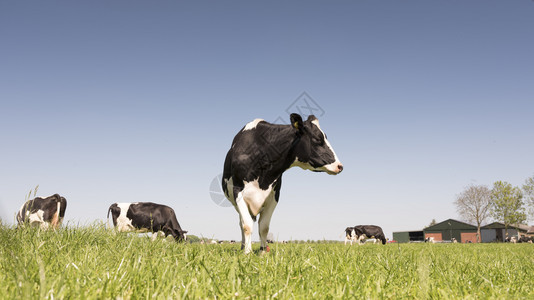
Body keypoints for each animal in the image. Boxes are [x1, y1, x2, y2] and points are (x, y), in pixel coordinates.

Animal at [224, 113, 346, 254]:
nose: (340, 166)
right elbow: (247, 225)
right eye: (317, 139)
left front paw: (263, 252)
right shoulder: (238, 191)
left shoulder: (274, 195)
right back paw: (243, 247)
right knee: (242, 223)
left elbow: (264, 227)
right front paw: (247, 253)